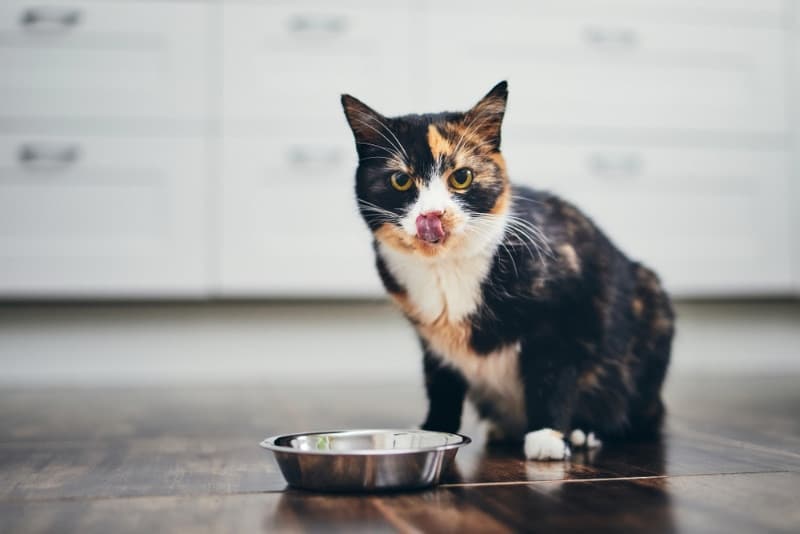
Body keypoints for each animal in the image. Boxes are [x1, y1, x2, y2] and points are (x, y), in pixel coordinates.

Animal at [340, 81, 672, 462]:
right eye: (400, 180)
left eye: (462, 177)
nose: (432, 215)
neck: (446, 268)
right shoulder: (433, 340)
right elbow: (441, 383)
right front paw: (434, 430)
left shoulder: (566, 307)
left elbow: (551, 372)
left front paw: (547, 436)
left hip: (650, 307)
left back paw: (585, 431)